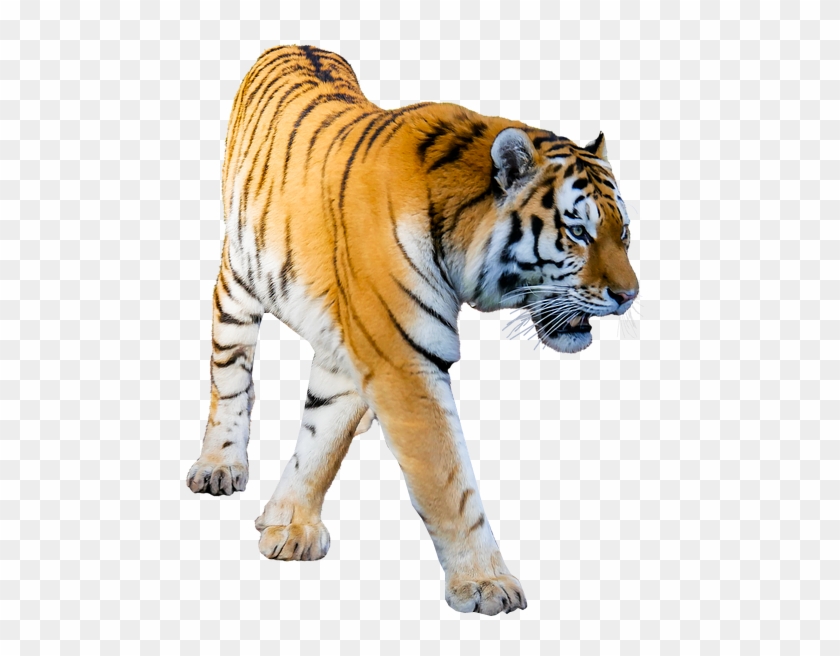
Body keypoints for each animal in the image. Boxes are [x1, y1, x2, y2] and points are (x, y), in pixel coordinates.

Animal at [185, 44, 639, 615]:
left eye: (624, 234)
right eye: (578, 232)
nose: (630, 296)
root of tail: (294, 44)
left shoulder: (356, 348)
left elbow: (321, 438)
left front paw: (290, 522)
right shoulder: (402, 360)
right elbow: (448, 481)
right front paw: (486, 583)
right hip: (238, 283)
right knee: (229, 378)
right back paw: (219, 465)